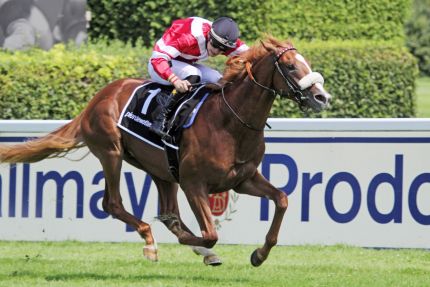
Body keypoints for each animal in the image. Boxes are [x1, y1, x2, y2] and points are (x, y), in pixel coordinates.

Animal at [0, 37, 330, 268]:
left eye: (305, 61)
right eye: (290, 66)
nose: (321, 97)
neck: (230, 122)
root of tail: (97, 98)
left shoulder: (242, 179)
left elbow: (282, 199)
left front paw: (259, 254)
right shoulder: (194, 184)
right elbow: (210, 233)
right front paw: (196, 243)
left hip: (161, 169)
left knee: (168, 209)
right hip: (111, 152)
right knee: (113, 203)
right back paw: (151, 242)